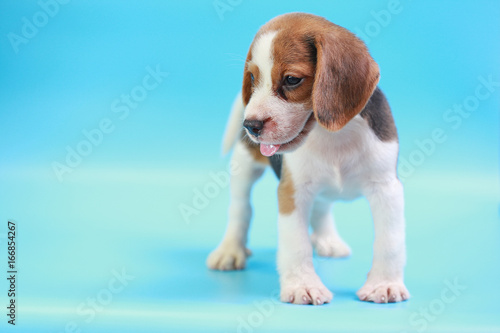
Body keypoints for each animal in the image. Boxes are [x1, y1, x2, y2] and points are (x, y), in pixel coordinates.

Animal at [205, 12, 408, 304]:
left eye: (291, 79)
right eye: (252, 78)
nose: (250, 125)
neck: (333, 137)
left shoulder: (386, 188)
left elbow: (389, 241)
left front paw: (384, 284)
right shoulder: (292, 192)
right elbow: (295, 244)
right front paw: (303, 284)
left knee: (321, 207)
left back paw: (327, 239)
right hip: (244, 167)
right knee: (240, 209)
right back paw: (230, 250)